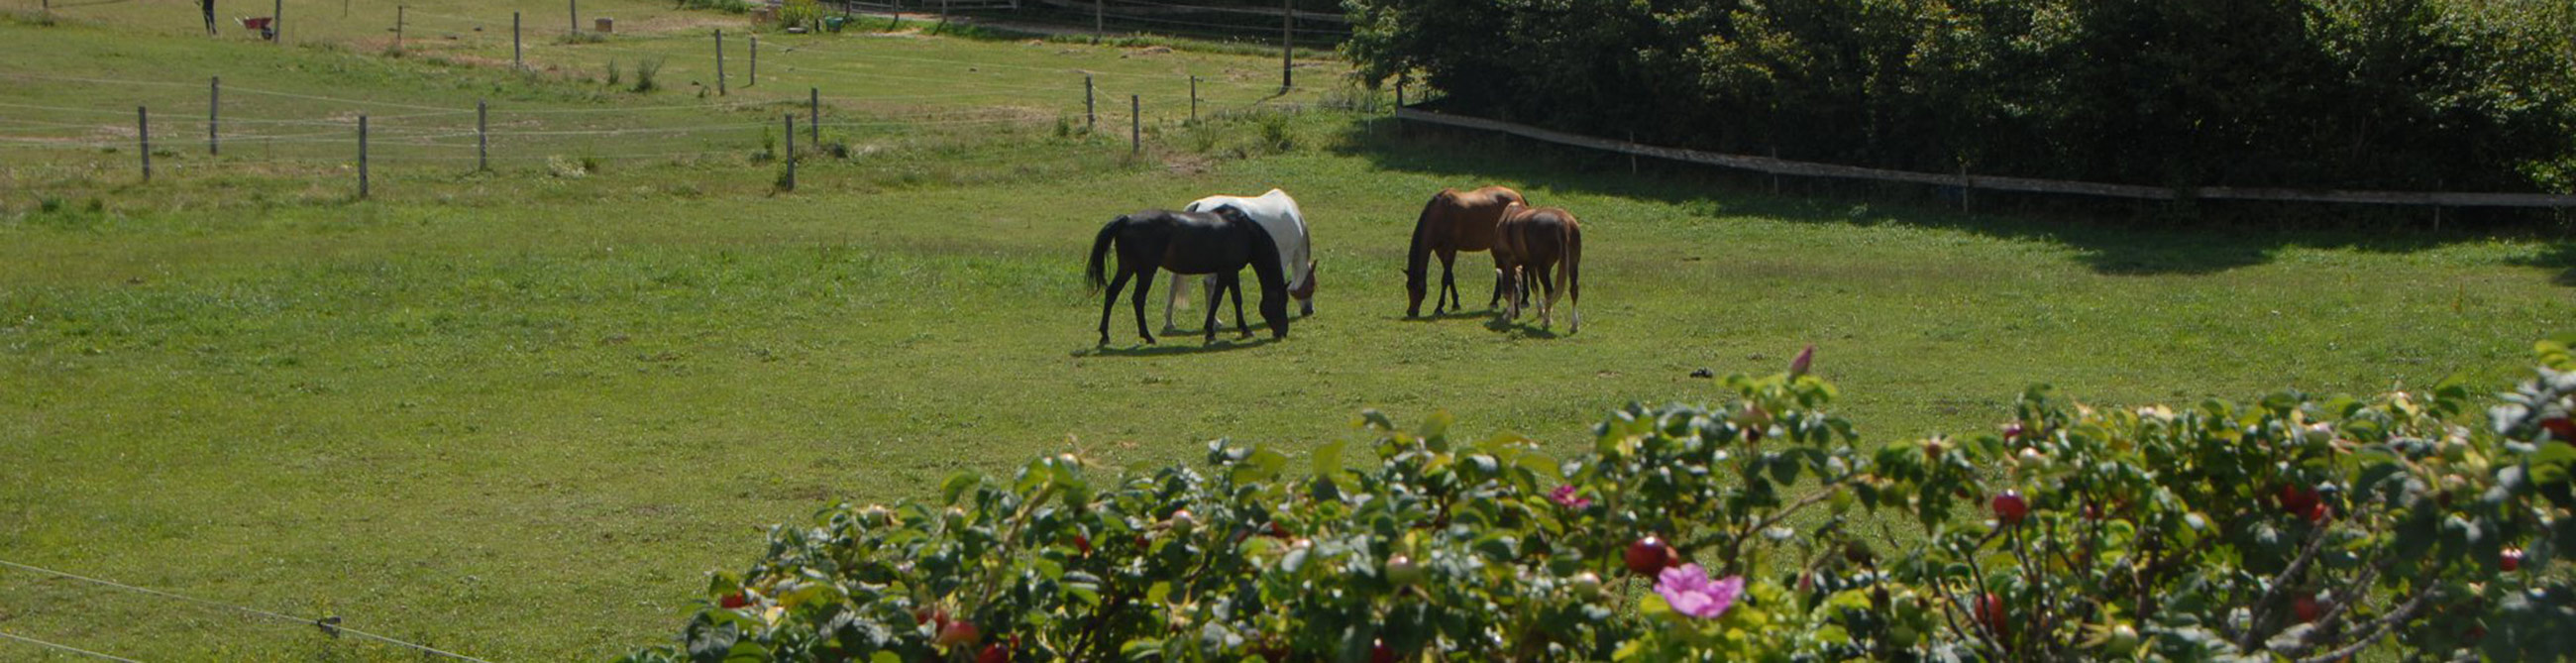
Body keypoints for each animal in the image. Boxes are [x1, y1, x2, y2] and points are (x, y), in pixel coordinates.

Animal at [1086, 207, 1290, 346]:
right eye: (1281, 302)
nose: (1283, 332)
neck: (1244, 231)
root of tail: (1127, 219)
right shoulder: (1228, 271)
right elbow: (1222, 299)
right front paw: (1215, 331)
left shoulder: (1229, 272)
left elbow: (1232, 299)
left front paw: (1235, 330)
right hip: (1145, 270)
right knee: (1138, 299)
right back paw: (1147, 336)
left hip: (1127, 268)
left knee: (1111, 294)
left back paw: (1105, 335)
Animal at [1162, 188, 1317, 332]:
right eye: (1312, 285)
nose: (1309, 310)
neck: (1295, 218)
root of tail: (1198, 205)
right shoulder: (1283, 255)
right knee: (1208, 283)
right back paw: (1214, 322)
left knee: (1174, 283)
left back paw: (1169, 322)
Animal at [1405, 186, 1527, 318]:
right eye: (1408, 287)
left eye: (1419, 288)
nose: (1411, 312)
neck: (1440, 214)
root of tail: (1518, 196)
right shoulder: (1440, 251)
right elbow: (1450, 277)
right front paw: (1455, 303)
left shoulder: (1450, 250)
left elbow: (1445, 279)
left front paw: (1439, 307)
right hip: (1495, 247)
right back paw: (1494, 301)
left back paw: (1525, 301)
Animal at [1493, 202, 1583, 333]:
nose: (1517, 313)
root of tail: (1563, 222)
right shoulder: (1530, 265)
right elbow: (1534, 286)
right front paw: (1541, 310)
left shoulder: (1508, 262)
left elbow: (1509, 287)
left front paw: (1508, 313)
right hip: (1573, 264)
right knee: (1574, 290)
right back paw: (1574, 324)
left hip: (1544, 269)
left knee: (1549, 292)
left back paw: (1546, 321)